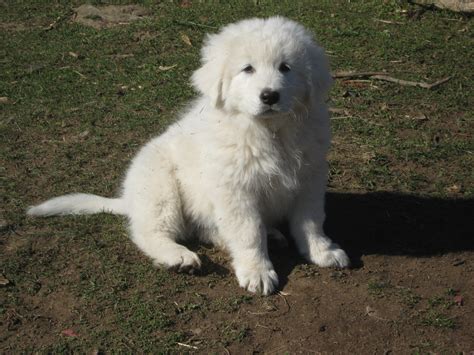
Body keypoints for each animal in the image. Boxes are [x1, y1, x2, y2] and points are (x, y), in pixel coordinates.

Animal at [27, 16, 350, 294]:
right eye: (247, 69)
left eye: (285, 67)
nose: (269, 96)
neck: (269, 131)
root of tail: (128, 200)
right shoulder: (235, 189)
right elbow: (248, 233)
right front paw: (257, 271)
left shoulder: (309, 176)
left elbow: (310, 221)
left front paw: (323, 251)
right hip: (160, 188)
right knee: (149, 233)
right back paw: (178, 256)